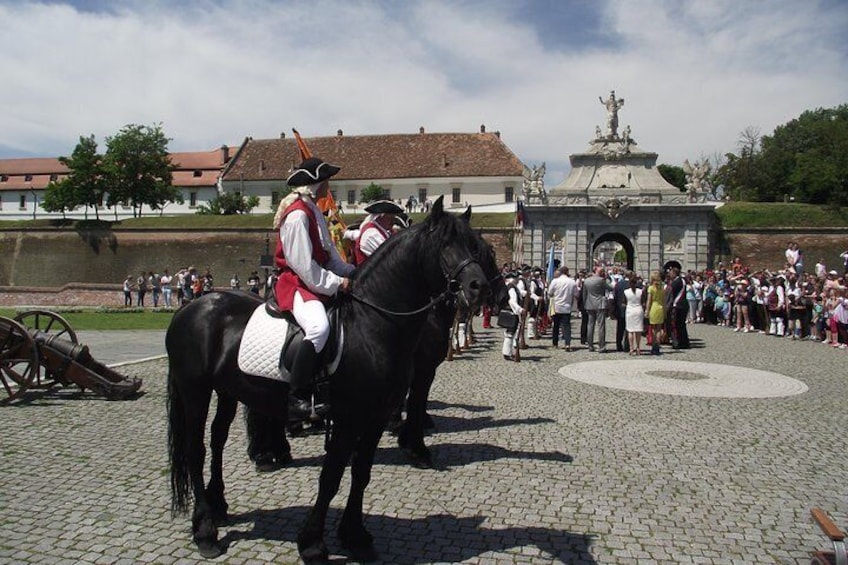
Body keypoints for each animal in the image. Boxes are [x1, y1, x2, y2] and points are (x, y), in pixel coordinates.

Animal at [167, 196, 490, 560]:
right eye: (445, 244)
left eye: (474, 246)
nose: (479, 288)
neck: (373, 323)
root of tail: (190, 307)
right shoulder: (351, 417)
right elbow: (331, 477)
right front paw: (312, 543)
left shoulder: (375, 416)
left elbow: (361, 472)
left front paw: (355, 536)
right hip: (195, 391)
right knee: (195, 451)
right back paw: (206, 530)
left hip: (227, 391)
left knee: (217, 440)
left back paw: (220, 503)